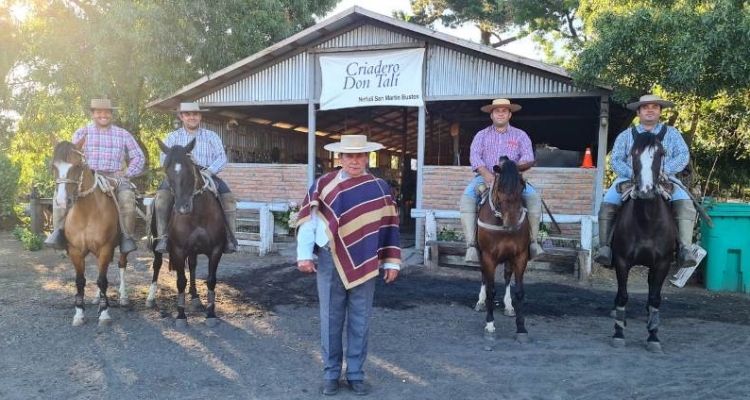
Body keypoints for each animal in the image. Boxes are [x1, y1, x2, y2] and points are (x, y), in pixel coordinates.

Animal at [50, 137, 131, 324]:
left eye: (77, 166)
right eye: (53, 167)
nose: (62, 201)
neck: (87, 214)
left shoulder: (105, 248)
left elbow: (102, 280)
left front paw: (104, 313)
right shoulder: (75, 251)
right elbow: (80, 281)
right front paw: (79, 314)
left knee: (122, 265)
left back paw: (123, 298)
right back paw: (96, 298)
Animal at [148, 139, 226, 326]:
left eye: (191, 168)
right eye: (166, 169)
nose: (182, 207)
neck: (198, 215)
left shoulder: (216, 249)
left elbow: (211, 280)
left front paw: (210, 313)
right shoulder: (177, 250)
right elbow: (180, 281)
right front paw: (181, 315)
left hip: (194, 249)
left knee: (192, 265)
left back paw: (195, 296)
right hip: (156, 243)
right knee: (157, 264)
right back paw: (151, 298)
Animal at [472, 158, 532, 342]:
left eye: (522, 186)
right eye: (499, 187)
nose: (511, 224)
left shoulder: (520, 256)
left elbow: (519, 291)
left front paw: (521, 328)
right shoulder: (488, 257)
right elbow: (491, 290)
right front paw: (490, 325)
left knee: (506, 277)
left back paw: (508, 306)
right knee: (484, 276)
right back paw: (481, 302)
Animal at [612, 133, 680, 352]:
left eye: (661, 153)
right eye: (633, 153)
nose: (645, 191)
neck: (647, 222)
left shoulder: (662, 264)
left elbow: (655, 299)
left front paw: (653, 336)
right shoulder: (622, 261)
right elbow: (622, 295)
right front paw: (618, 333)